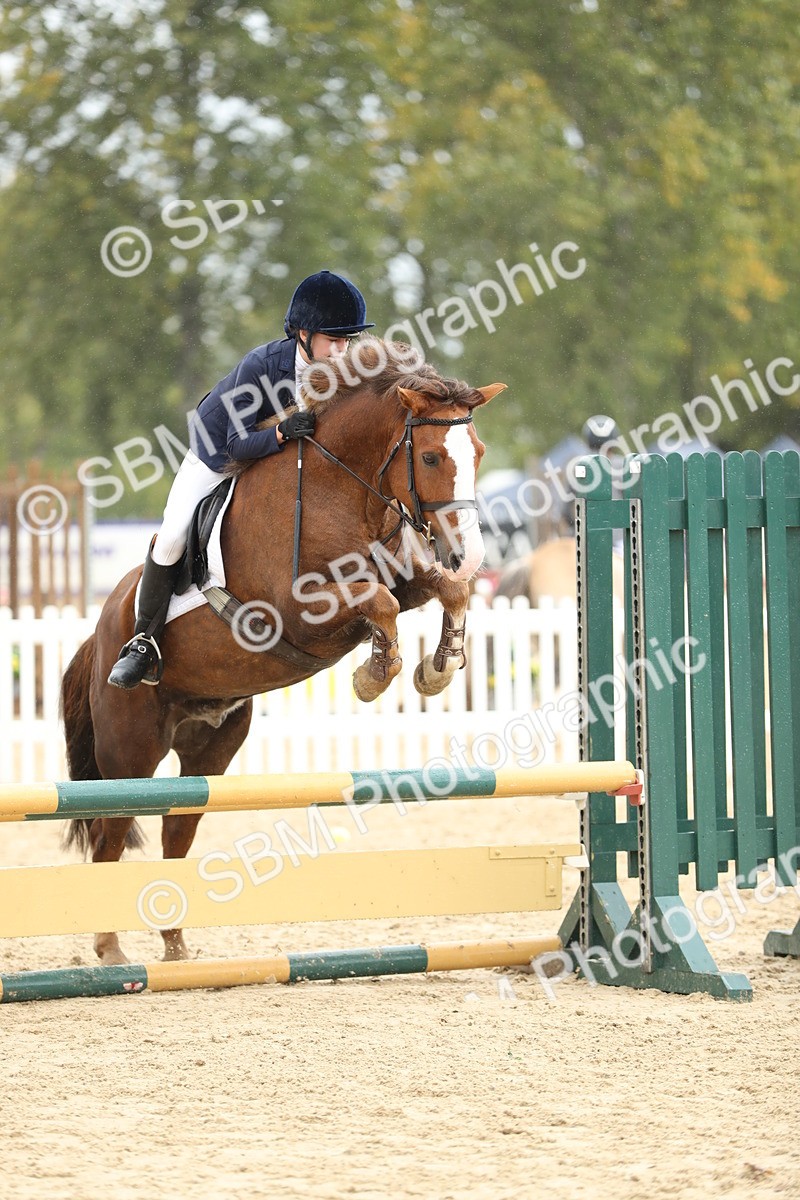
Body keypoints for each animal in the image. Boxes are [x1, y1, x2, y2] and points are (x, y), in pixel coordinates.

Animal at [60, 338, 505, 965]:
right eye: (433, 458)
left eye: (479, 451)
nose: (471, 554)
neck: (338, 487)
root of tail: (99, 637)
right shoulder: (296, 612)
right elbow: (379, 605)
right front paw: (375, 676)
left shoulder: (406, 578)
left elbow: (445, 591)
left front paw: (437, 668)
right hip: (131, 746)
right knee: (111, 833)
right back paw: (111, 949)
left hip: (211, 745)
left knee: (177, 829)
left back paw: (175, 948)